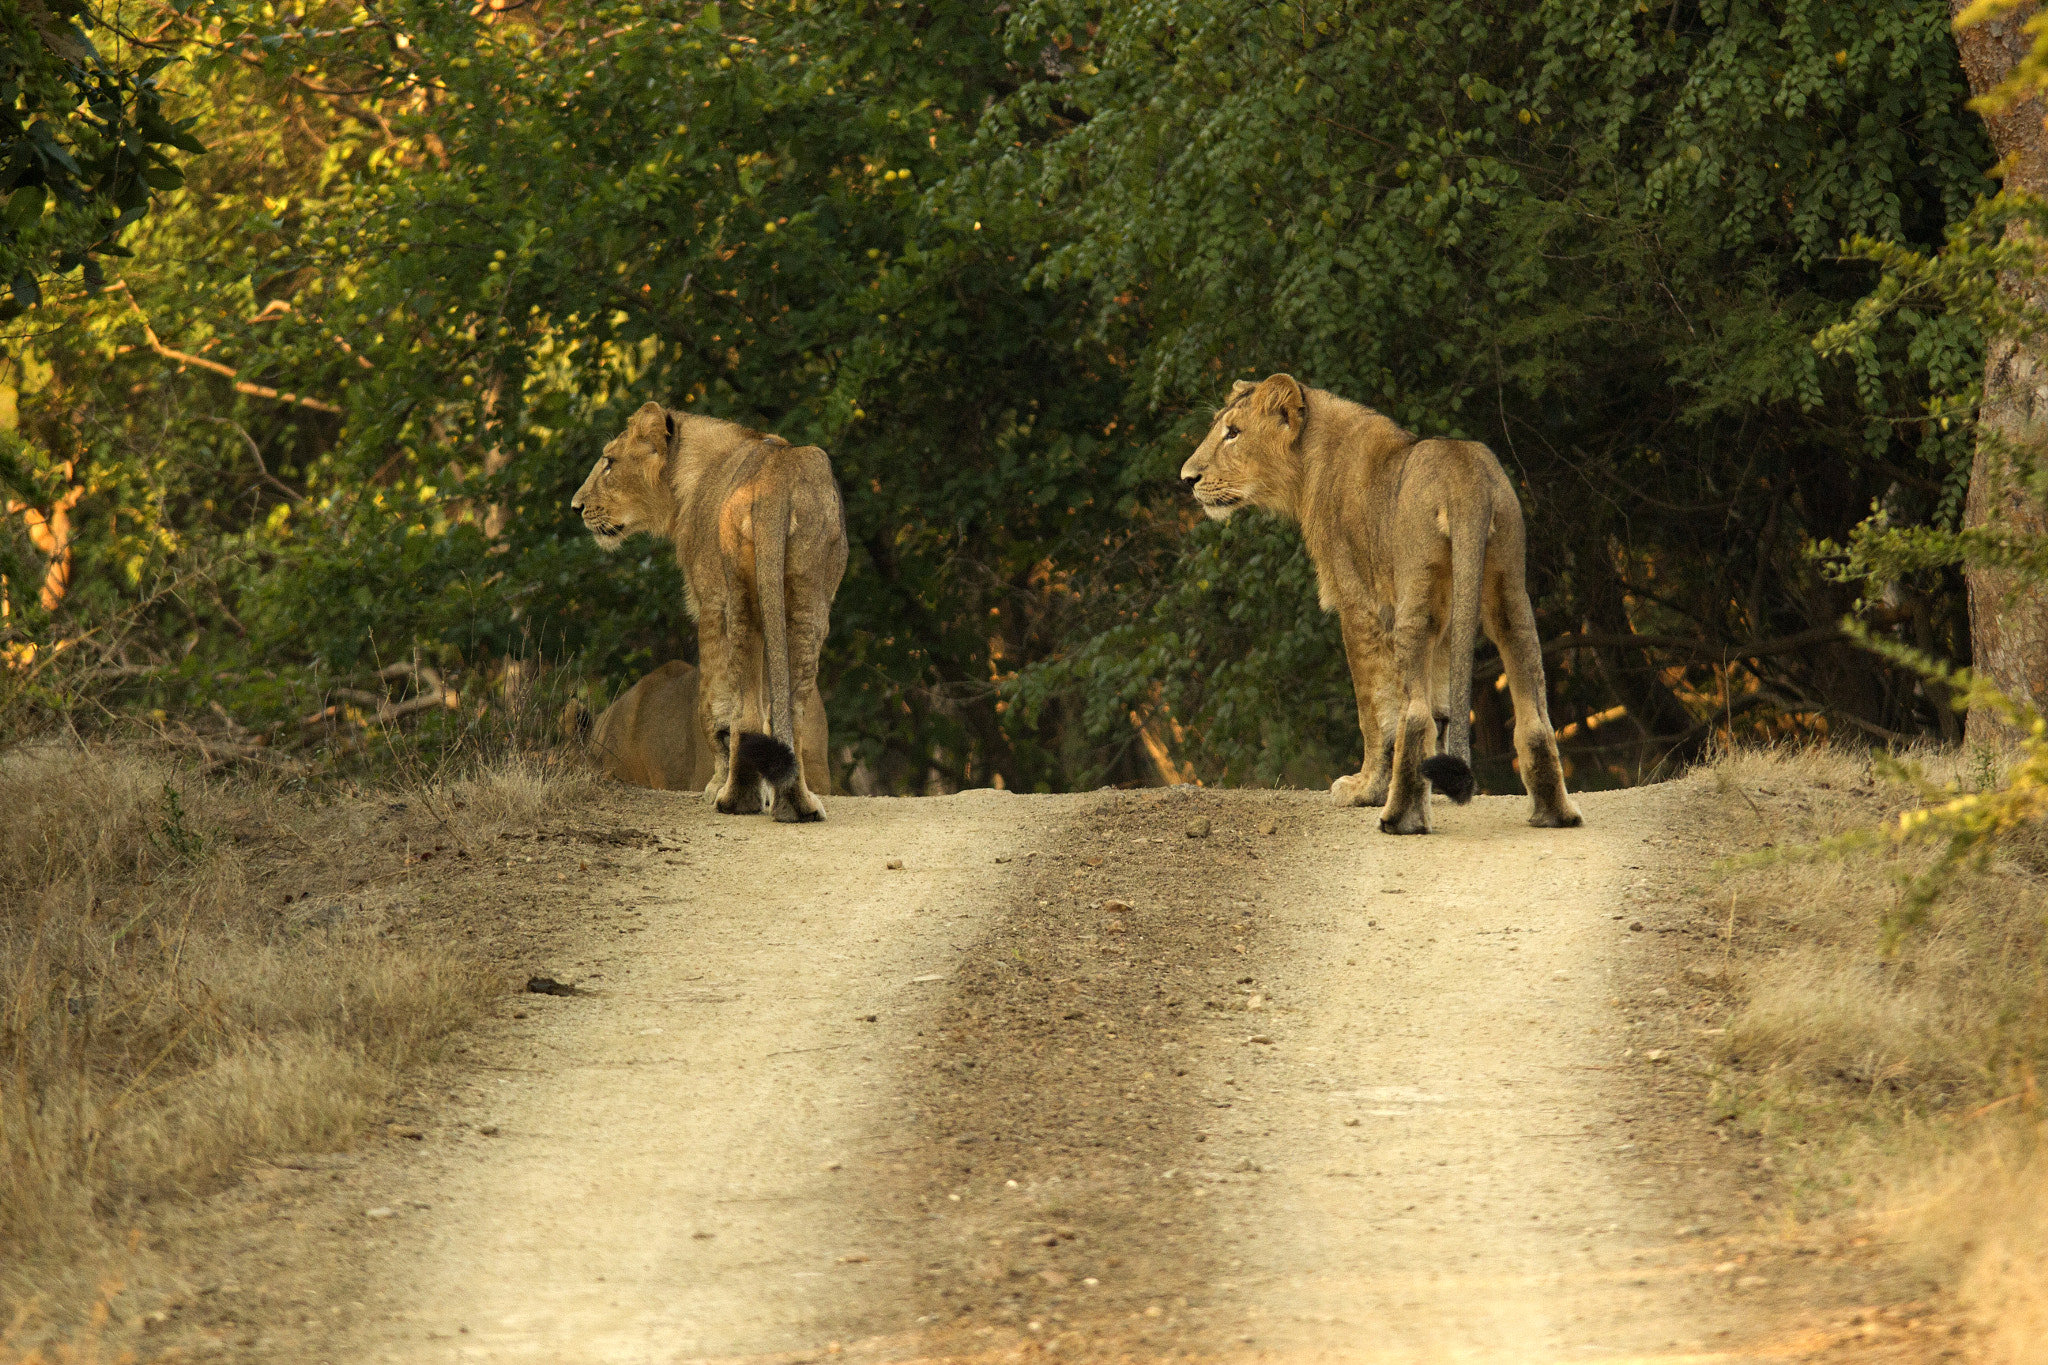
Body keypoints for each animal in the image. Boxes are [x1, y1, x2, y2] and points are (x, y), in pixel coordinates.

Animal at [1179, 374, 1581, 834]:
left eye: (1233, 433)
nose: (1186, 478)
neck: (1309, 462)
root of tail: (1467, 480)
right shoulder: (1447, 620)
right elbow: (1444, 706)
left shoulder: (1358, 605)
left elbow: (1373, 710)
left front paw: (1365, 789)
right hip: (1507, 589)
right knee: (1533, 711)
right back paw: (1553, 815)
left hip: (1414, 600)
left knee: (1415, 715)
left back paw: (1398, 818)